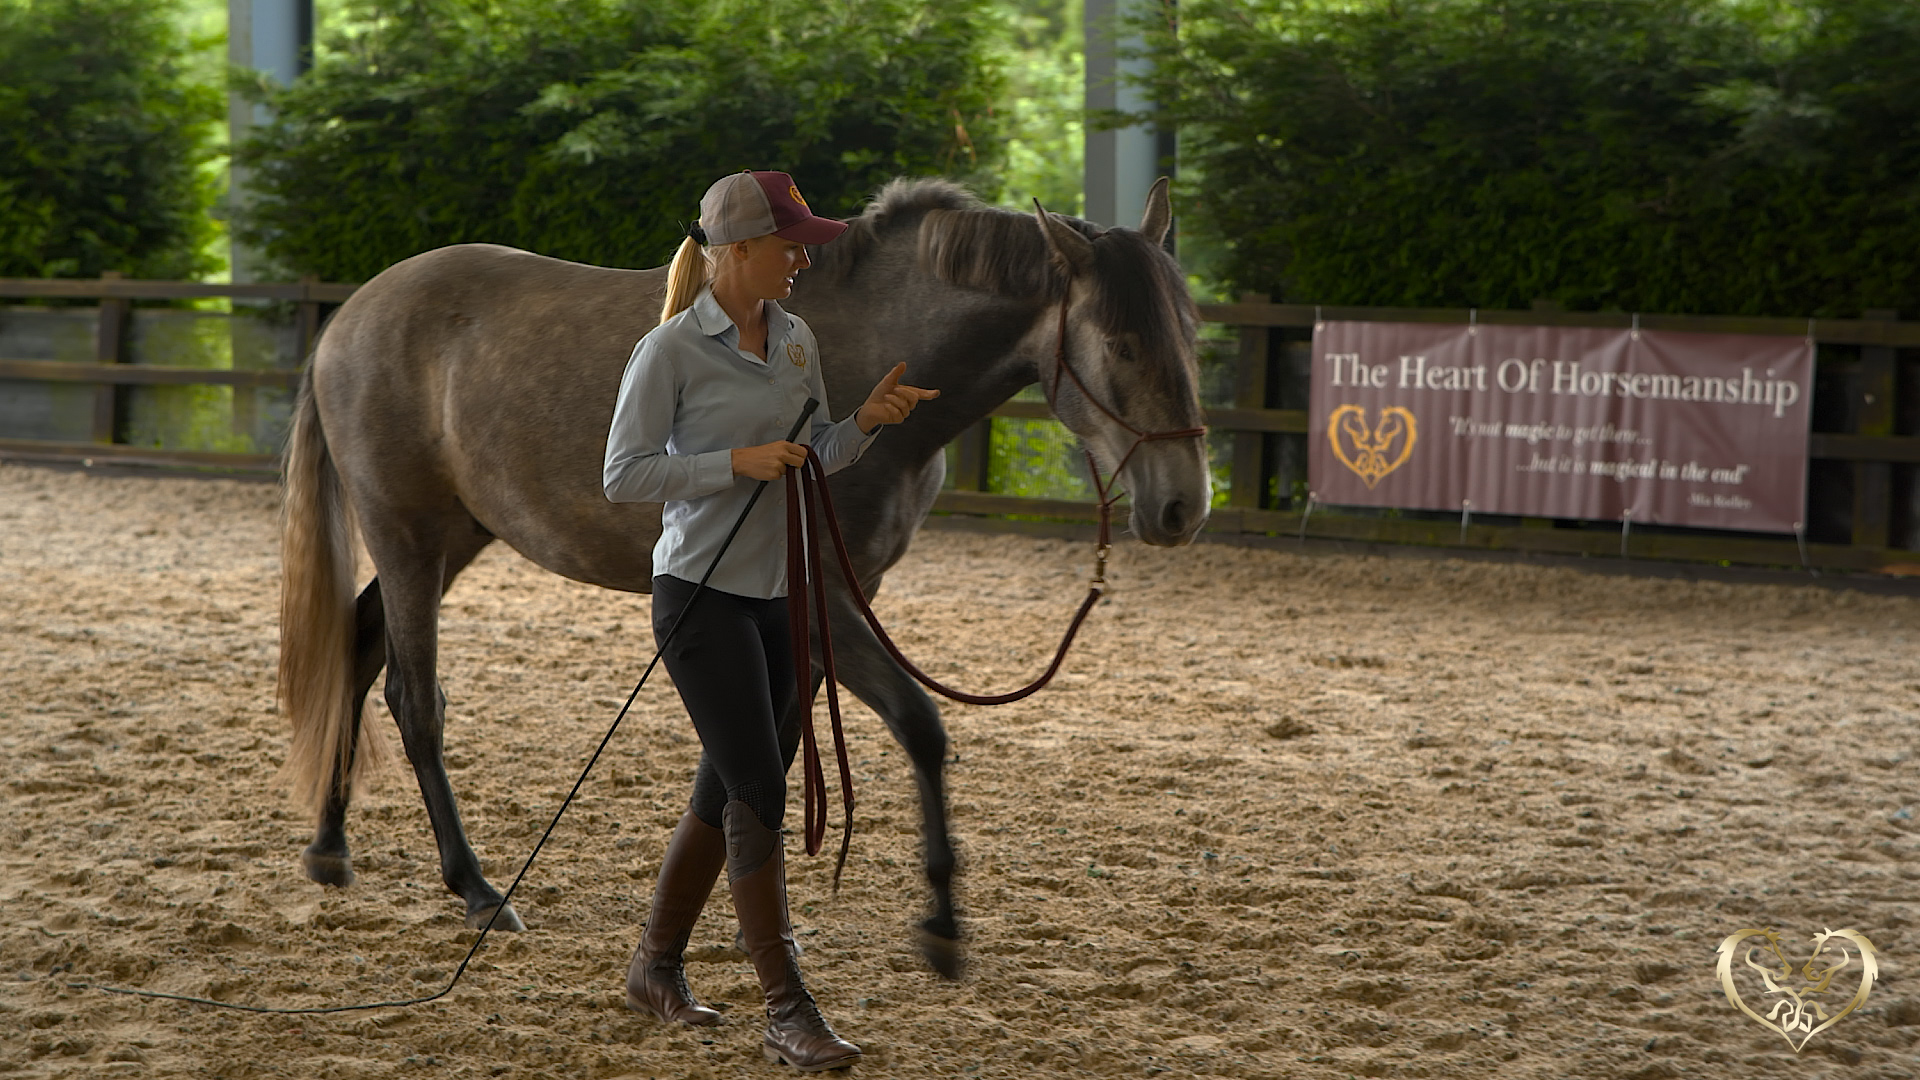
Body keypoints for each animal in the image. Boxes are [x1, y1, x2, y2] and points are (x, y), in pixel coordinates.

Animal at [277, 177, 1211, 978]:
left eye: (1190, 335)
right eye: (1123, 343)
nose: (1182, 507)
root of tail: (349, 318)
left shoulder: (823, 606)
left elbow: (775, 747)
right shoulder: (824, 600)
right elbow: (918, 727)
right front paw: (942, 924)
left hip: (452, 538)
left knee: (356, 652)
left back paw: (330, 847)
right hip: (406, 536)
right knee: (414, 700)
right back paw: (475, 888)